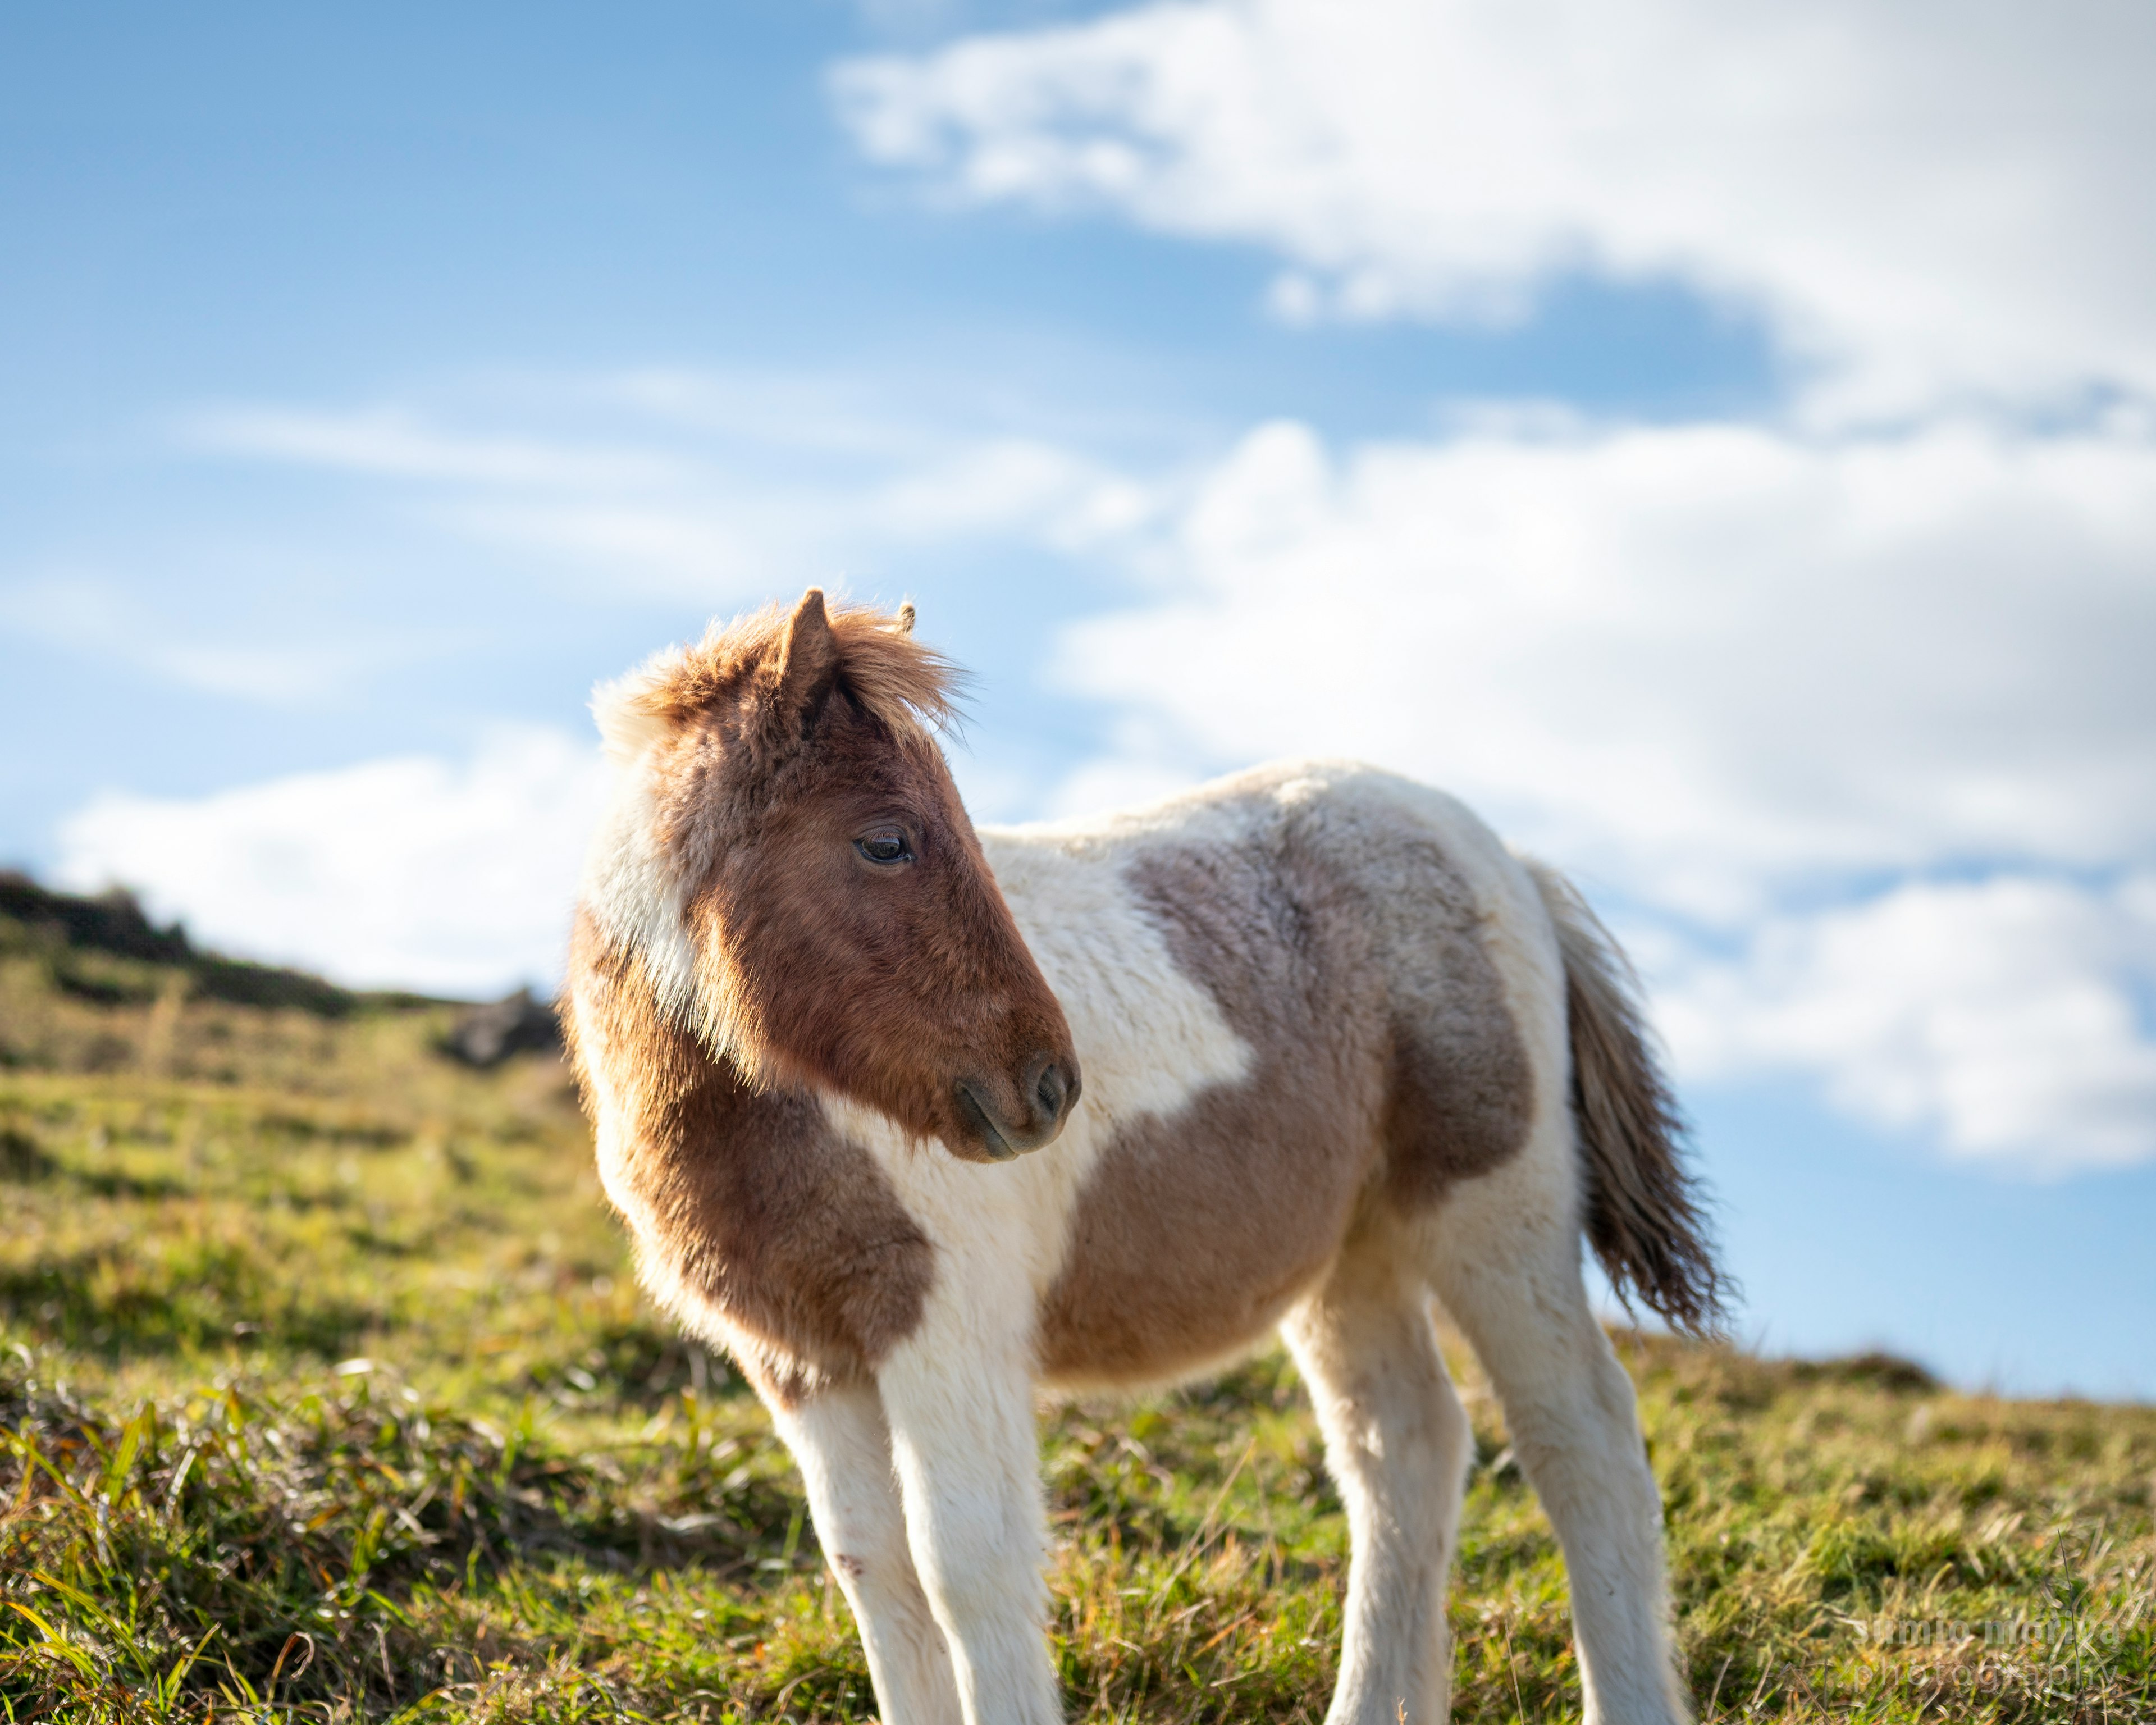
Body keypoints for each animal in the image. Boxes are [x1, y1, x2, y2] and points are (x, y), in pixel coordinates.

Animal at [565, 591, 1725, 1725]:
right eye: (886, 840)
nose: (1046, 1085)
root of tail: (1511, 862)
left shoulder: (946, 1329)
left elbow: (967, 1567)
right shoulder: (805, 1360)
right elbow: (876, 1574)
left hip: (1497, 1213)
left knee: (1581, 1438)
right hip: (1353, 1254)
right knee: (1405, 1448)